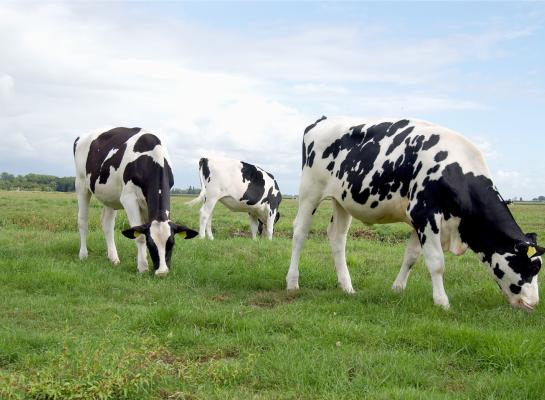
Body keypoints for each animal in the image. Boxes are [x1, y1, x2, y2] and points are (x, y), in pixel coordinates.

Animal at [73, 127, 198, 276]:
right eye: (151, 244)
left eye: (171, 243)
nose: (162, 272)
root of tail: (81, 136)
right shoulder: (129, 198)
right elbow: (139, 235)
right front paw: (142, 267)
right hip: (81, 184)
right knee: (82, 220)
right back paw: (83, 254)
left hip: (109, 195)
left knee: (107, 224)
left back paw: (113, 258)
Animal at [286, 115, 540, 310]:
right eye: (529, 267)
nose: (533, 303)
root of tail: (322, 120)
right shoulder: (425, 214)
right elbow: (436, 261)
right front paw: (442, 302)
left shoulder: (419, 221)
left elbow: (411, 257)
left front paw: (397, 289)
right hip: (310, 191)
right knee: (300, 233)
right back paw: (292, 282)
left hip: (342, 200)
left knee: (337, 237)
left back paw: (347, 286)